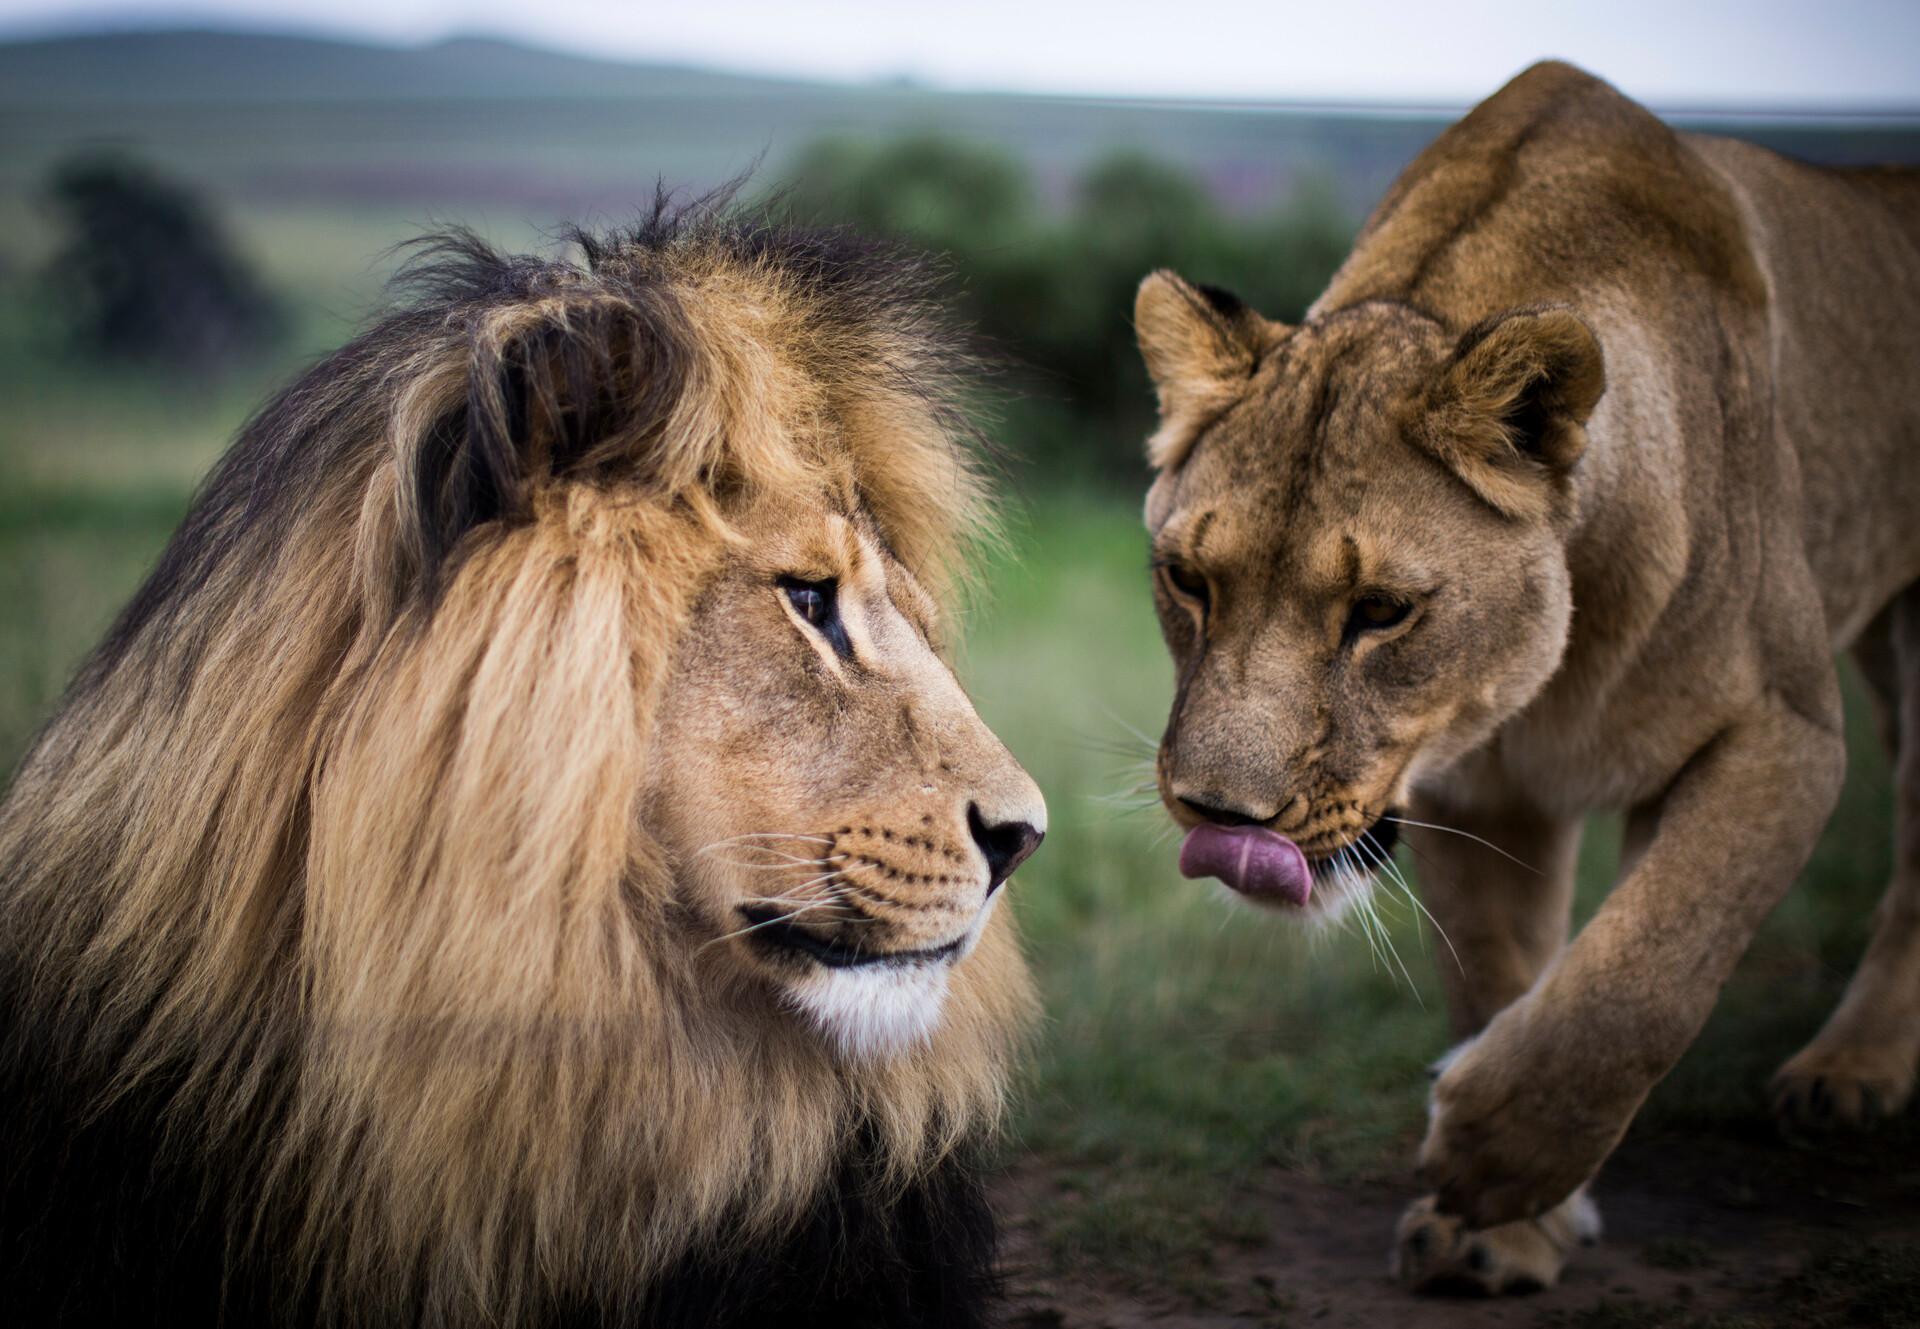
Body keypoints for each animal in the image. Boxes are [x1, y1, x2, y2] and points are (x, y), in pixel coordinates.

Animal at [1132, 61, 1920, 1296]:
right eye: (1188, 580)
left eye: (1381, 612)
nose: (1220, 816)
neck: (1538, 681)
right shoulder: (1479, 795)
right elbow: (1506, 975)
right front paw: (1499, 1232)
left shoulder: (1782, 730)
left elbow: (1645, 968)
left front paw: (1497, 1156)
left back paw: (1853, 1071)